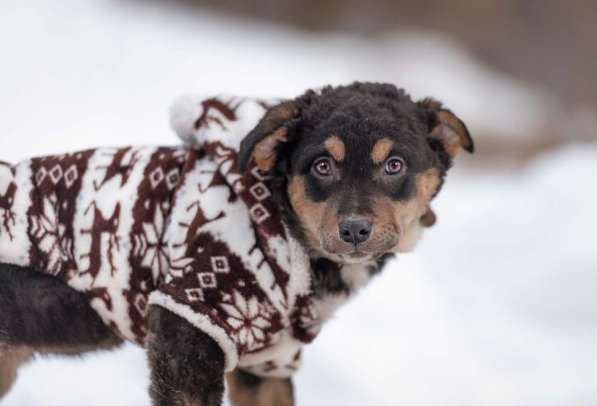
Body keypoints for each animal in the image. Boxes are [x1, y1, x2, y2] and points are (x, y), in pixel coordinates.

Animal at [0, 83, 472, 406]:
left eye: (395, 165)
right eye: (322, 165)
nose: (354, 229)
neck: (283, 225)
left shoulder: (266, 364)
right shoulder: (186, 330)